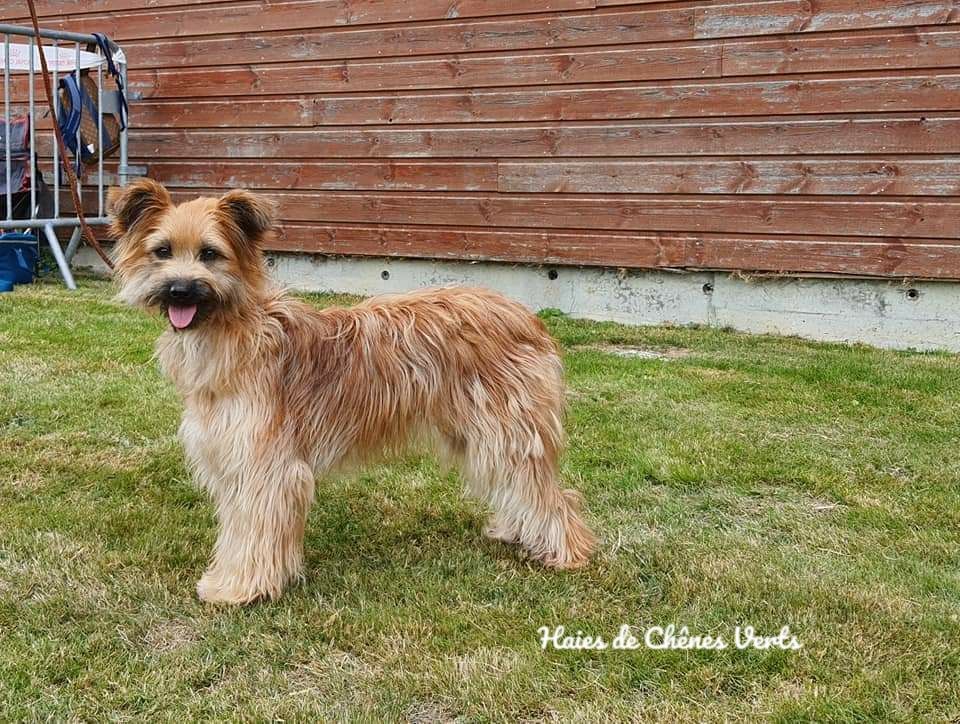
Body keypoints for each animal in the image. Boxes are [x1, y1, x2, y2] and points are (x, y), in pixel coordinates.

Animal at [109, 180, 596, 604]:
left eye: (210, 254)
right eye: (162, 252)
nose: (179, 291)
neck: (236, 332)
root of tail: (526, 315)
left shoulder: (265, 464)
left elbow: (254, 529)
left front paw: (240, 588)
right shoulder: (230, 456)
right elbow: (237, 527)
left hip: (508, 427)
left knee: (550, 494)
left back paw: (566, 553)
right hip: (481, 433)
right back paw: (519, 531)